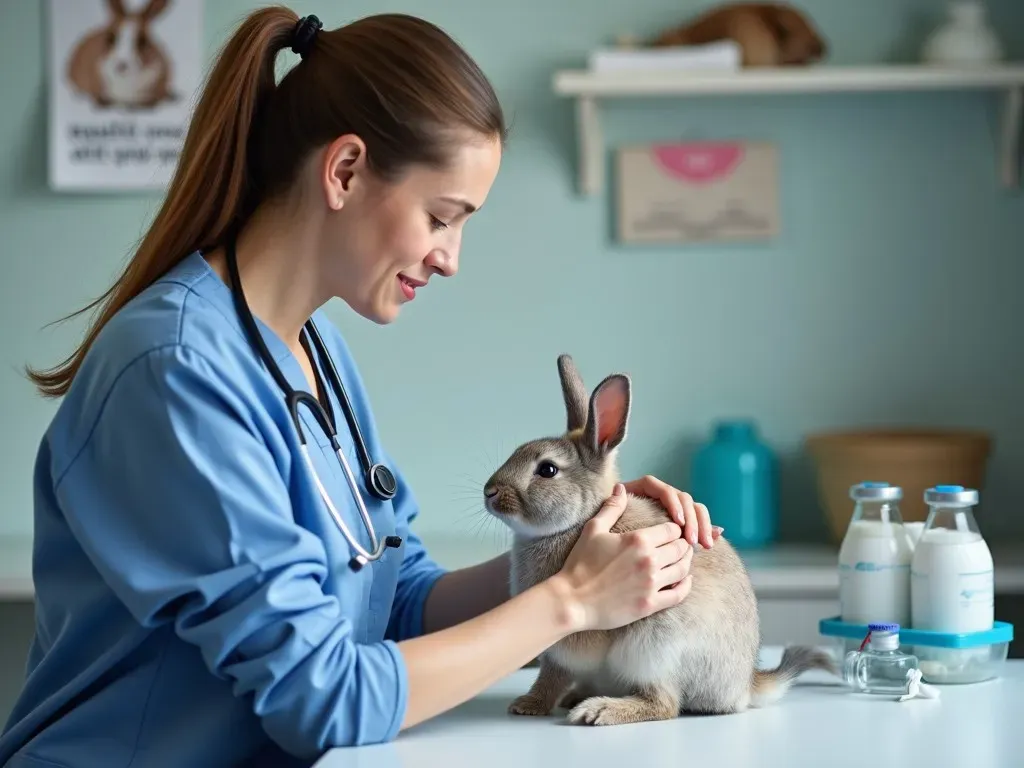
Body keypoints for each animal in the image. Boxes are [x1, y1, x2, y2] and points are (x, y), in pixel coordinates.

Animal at [483, 354, 835, 729]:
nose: (489, 492)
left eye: (547, 470)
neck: (580, 521)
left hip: (653, 645)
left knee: (665, 704)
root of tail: (744, 686)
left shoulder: (565, 647)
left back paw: (597, 710)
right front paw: (529, 704)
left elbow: (553, 674)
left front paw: (529, 704)